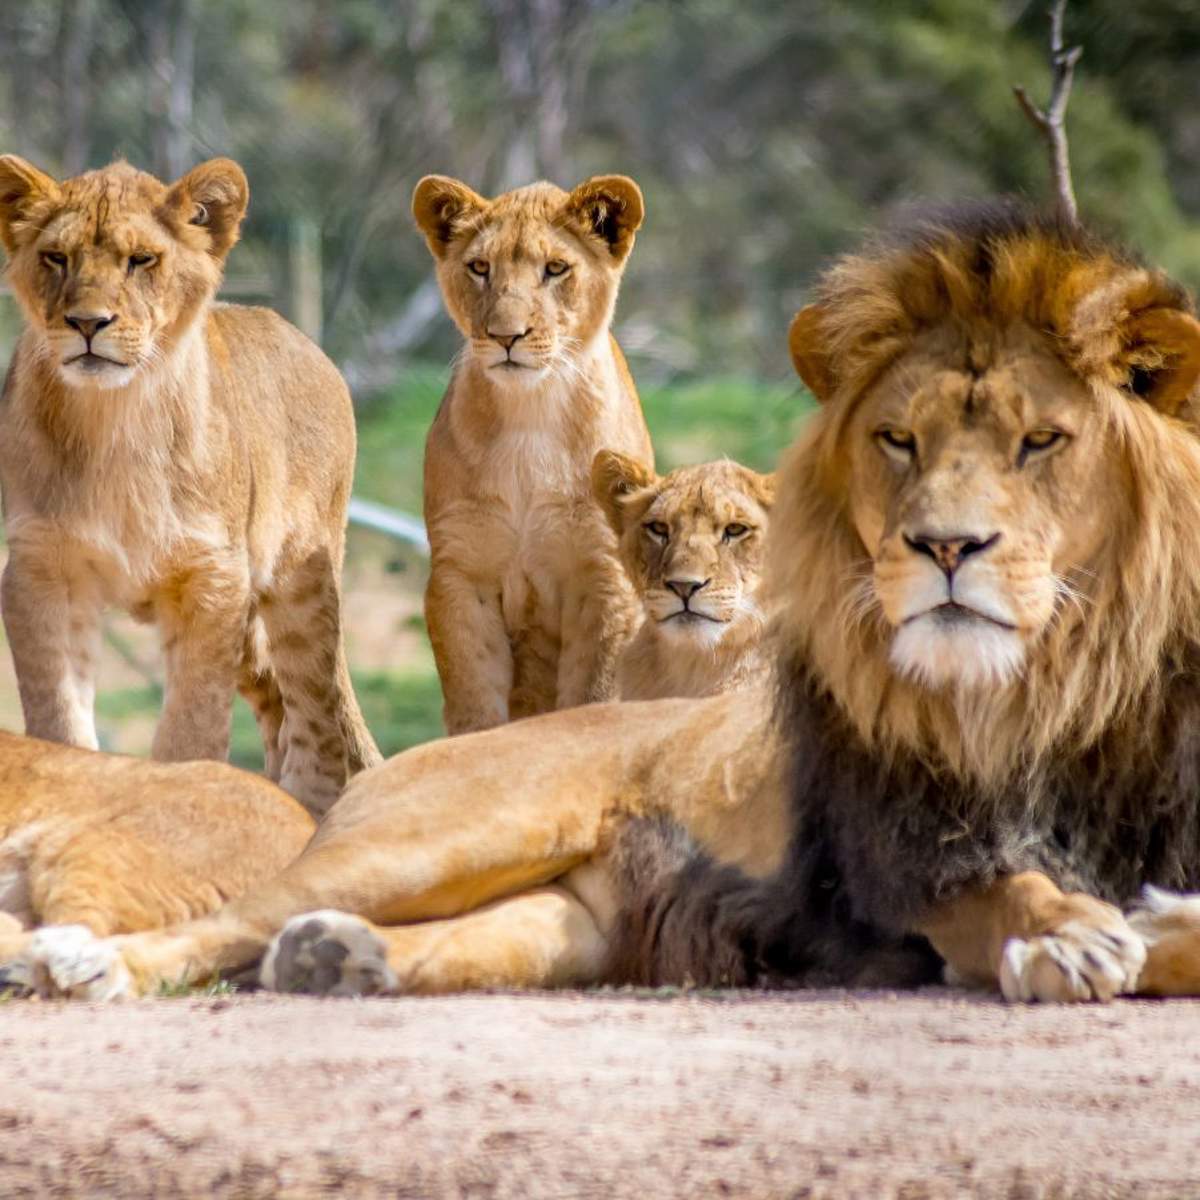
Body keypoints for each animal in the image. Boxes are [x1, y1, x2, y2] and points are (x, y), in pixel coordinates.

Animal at [0, 157, 376, 816]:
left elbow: (192, 726)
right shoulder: (39, 570)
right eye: (56, 258)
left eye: (141, 260)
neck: (113, 420)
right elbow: (59, 716)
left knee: (316, 712)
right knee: (278, 705)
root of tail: (305, 341)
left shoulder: (212, 577)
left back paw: (305, 806)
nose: (87, 324)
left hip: (300, 581)